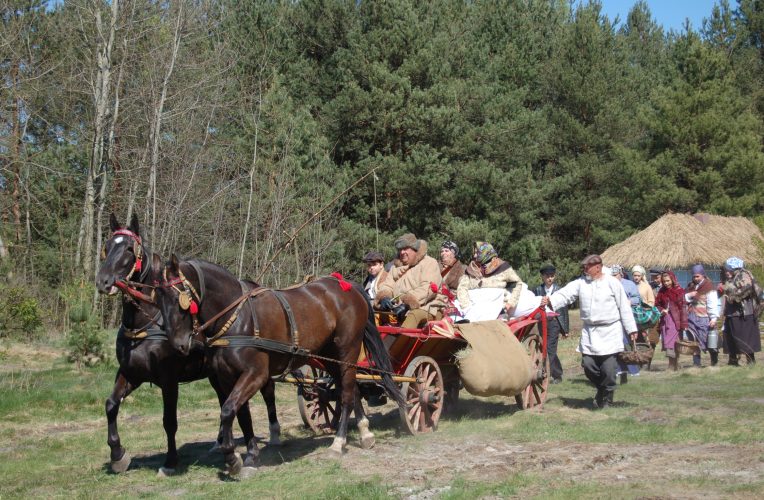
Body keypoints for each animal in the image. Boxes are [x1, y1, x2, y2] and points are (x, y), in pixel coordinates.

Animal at [95, 213, 280, 474]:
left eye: (130, 249)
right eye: (107, 246)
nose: (103, 281)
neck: (147, 323)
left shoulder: (169, 379)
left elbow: (169, 421)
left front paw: (170, 462)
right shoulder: (131, 372)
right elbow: (111, 405)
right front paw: (117, 454)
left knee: (268, 392)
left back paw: (274, 434)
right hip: (215, 373)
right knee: (226, 398)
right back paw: (221, 441)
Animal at [154, 256, 406, 474]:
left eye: (179, 299)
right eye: (158, 299)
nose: (178, 344)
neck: (237, 318)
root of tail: (347, 286)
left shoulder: (255, 374)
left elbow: (227, 411)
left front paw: (232, 458)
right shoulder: (227, 377)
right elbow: (240, 414)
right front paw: (250, 455)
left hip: (347, 351)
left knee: (345, 395)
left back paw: (338, 442)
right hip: (329, 357)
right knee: (351, 389)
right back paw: (365, 433)